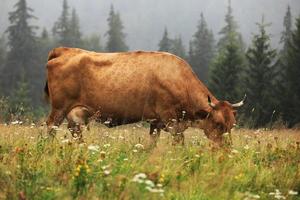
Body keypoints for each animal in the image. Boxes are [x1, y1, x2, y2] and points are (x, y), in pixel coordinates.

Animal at [43, 47, 244, 146]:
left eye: (232, 125)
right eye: (218, 123)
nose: (227, 148)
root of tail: (65, 50)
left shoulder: (156, 122)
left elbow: (152, 144)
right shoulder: (171, 119)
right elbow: (179, 144)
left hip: (75, 112)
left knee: (75, 131)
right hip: (59, 108)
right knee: (50, 128)